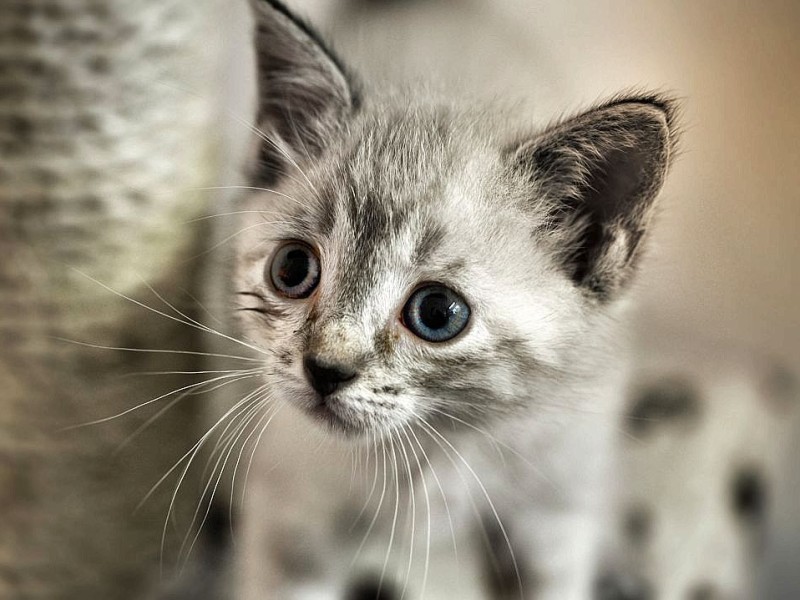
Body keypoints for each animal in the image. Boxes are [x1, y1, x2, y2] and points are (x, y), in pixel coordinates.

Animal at [228, 1, 680, 600]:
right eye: (293, 270)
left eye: (438, 314)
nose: (324, 370)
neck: (438, 443)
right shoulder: (292, 518)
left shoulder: (552, 516)